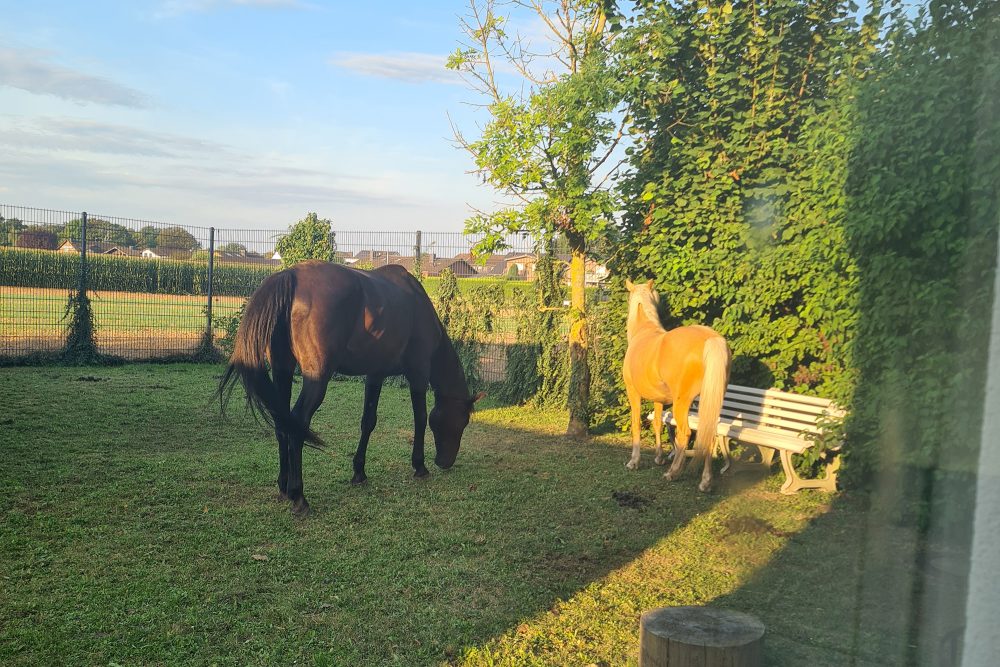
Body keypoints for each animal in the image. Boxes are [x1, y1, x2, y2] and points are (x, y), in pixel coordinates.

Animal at [220, 260, 484, 516]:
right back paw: (299, 497)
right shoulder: (418, 375)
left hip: (282, 369)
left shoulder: (375, 375)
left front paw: (359, 471)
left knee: (282, 423)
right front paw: (419, 465)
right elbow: (419, 419)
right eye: (463, 421)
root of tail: (290, 276)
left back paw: (284, 487)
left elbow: (368, 421)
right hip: (317, 379)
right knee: (297, 423)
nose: (445, 462)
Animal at [620, 280, 732, 494]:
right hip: (709, 401)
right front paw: (659, 457)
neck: (643, 332)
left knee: (685, 433)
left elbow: (637, 424)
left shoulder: (633, 394)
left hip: (682, 403)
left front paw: (633, 462)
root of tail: (711, 338)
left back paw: (673, 473)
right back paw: (705, 482)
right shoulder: (658, 400)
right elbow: (657, 423)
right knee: (708, 435)